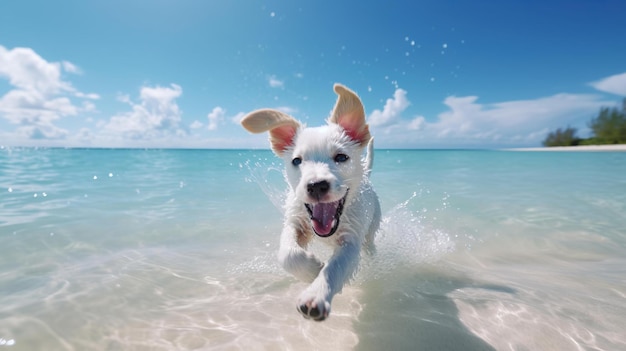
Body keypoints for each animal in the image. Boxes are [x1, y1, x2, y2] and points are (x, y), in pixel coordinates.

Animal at [239, 84, 380, 324]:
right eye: (297, 160)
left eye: (341, 157)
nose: (316, 186)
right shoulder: (295, 223)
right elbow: (288, 254)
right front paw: (313, 269)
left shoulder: (351, 242)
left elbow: (334, 268)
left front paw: (315, 296)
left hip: (370, 230)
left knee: (370, 245)